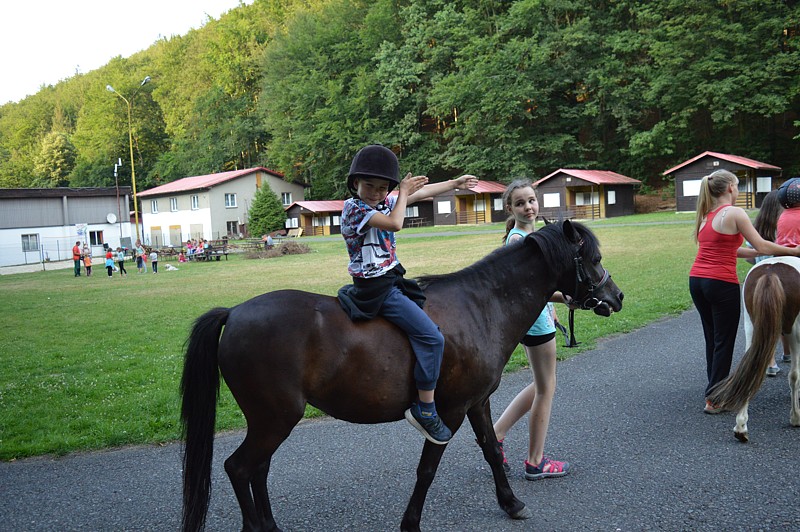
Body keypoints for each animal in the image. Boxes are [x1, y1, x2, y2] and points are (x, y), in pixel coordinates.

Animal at [178, 218, 620, 528]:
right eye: (595, 259)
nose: (616, 296)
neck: (483, 304)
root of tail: (234, 313)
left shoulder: (477, 402)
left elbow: (492, 450)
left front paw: (511, 503)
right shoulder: (450, 412)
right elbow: (427, 470)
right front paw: (411, 523)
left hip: (270, 422)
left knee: (258, 470)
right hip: (275, 419)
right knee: (239, 469)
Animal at [708, 256, 800, 440]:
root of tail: (770, 273)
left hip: (751, 327)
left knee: (749, 370)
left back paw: (741, 427)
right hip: (793, 330)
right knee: (793, 375)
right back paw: (795, 417)